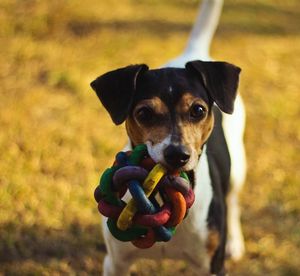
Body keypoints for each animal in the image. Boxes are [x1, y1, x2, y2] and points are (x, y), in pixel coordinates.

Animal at [90, 0, 245, 276]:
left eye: (198, 110)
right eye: (144, 113)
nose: (177, 155)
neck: (161, 195)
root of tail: (194, 51)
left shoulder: (212, 266)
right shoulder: (115, 262)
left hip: (238, 165)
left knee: (233, 200)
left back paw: (235, 242)